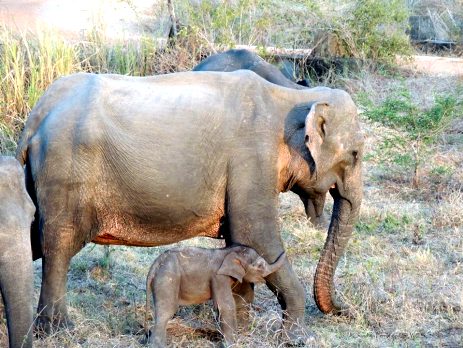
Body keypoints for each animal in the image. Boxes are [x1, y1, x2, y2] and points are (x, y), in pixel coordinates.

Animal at [144, 246, 286, 346]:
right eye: (260, 265)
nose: (284, 251)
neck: (228, 251)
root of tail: (155, 264)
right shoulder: (219, 277)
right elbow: (227, 304)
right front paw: (231, 343)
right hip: (167, 279)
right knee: (166, 312)